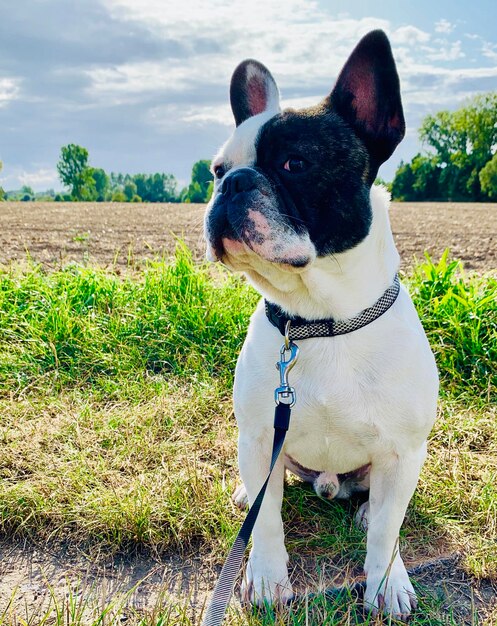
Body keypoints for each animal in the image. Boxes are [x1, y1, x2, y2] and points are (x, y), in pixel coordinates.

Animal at [203, 28, 436, 616]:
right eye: (217, 169)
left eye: (294, 164)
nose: (233, 183)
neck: (320, 320)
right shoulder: (261, 435)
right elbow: (265, 524)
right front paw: (266, 578)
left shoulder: (402, 450)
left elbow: (387, 531)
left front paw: (386, 582)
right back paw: (246, 491)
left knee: (379, 504)